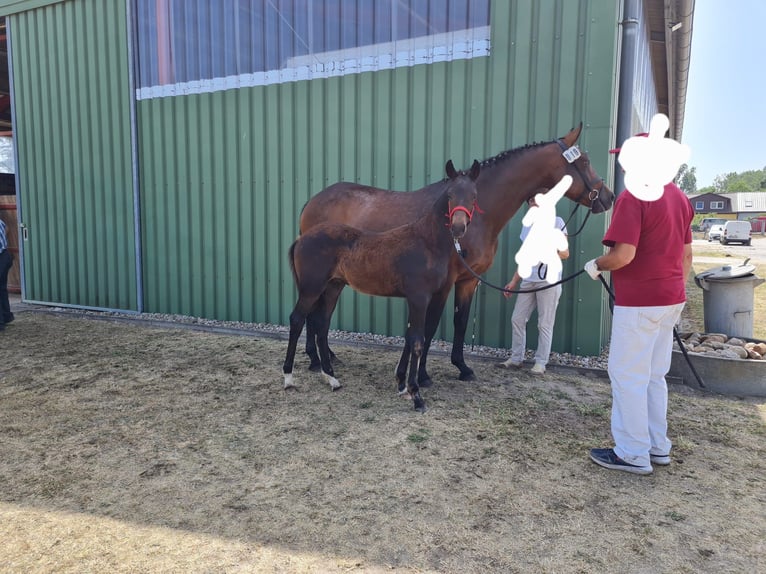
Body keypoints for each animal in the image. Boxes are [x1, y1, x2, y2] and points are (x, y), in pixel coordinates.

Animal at [283, 160, 481, 412]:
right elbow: (417, 341)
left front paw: (403, 386)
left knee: (322, 324)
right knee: (297, 320)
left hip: (332, 287)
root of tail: (301, 239)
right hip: (311, 289)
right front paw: (416, 395)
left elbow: (412, 337)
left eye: (474, 195)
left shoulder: (428, 297)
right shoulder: (419, 297)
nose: (458, 228)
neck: (427, 242)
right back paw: (289, 378)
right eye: (450, 194)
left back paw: (332, 379)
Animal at [299, 123, 614, 387]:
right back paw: (317, 362)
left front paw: (462, 368)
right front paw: (421, 375)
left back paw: (322, 359)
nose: (608, 197)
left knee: (316, 316)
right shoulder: (443, 283)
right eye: (584, 161)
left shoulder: (467, 280)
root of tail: (312, 201)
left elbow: (459, 323)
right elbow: (429, 326)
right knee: (313, 314)